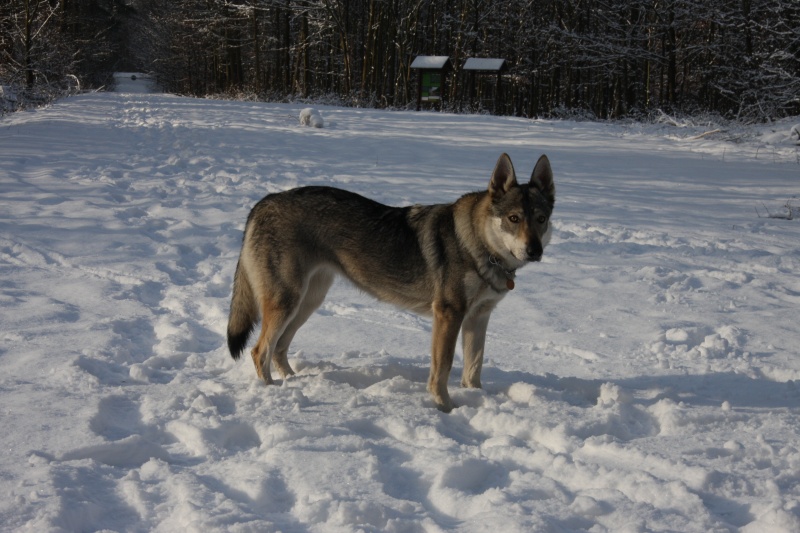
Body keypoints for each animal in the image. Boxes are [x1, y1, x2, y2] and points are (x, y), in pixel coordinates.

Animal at [227, 154, 556, 412]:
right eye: (514, 218)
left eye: (540, 219)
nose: (535, 250)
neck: (479, 247)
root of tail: (263, 202)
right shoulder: (448, 314)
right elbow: (443, 367)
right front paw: (446, 408)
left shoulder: (479, 317)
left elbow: (474, 367)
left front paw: (477, 401)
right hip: (287, 302)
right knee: (260, 351)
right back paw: (272, 392)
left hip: (307, 302)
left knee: (279, 348)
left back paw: (292, 381)